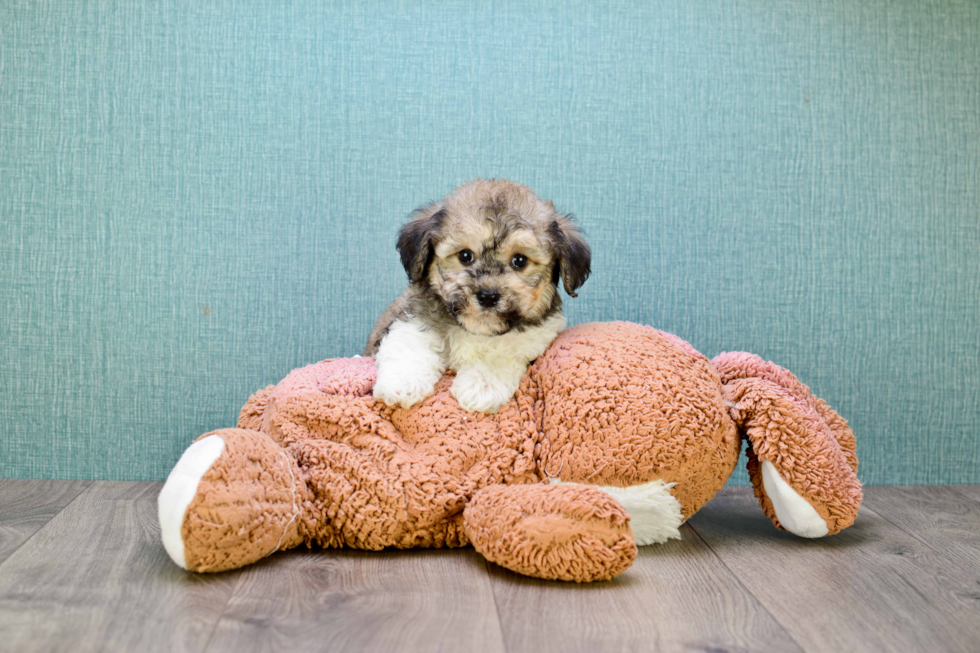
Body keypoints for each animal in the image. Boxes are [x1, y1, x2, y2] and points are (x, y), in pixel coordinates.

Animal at [362, 178, 584, 412]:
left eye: (520, 260)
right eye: (465, 255)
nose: (487, 296)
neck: (476, 330)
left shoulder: (536, 336)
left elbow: (504, 350)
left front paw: (482, 386)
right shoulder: (414, 316)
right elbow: (409, 343)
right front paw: (402, 384)